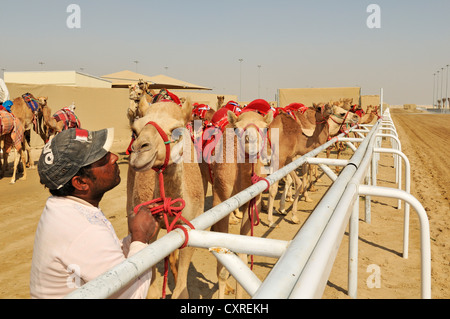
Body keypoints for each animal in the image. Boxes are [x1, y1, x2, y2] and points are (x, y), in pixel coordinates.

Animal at [127, 99, 203, 302]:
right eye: (135, 130)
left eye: (177, 131)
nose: (140, 149)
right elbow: (151, 290)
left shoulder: (192, 224)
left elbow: (182, 289)